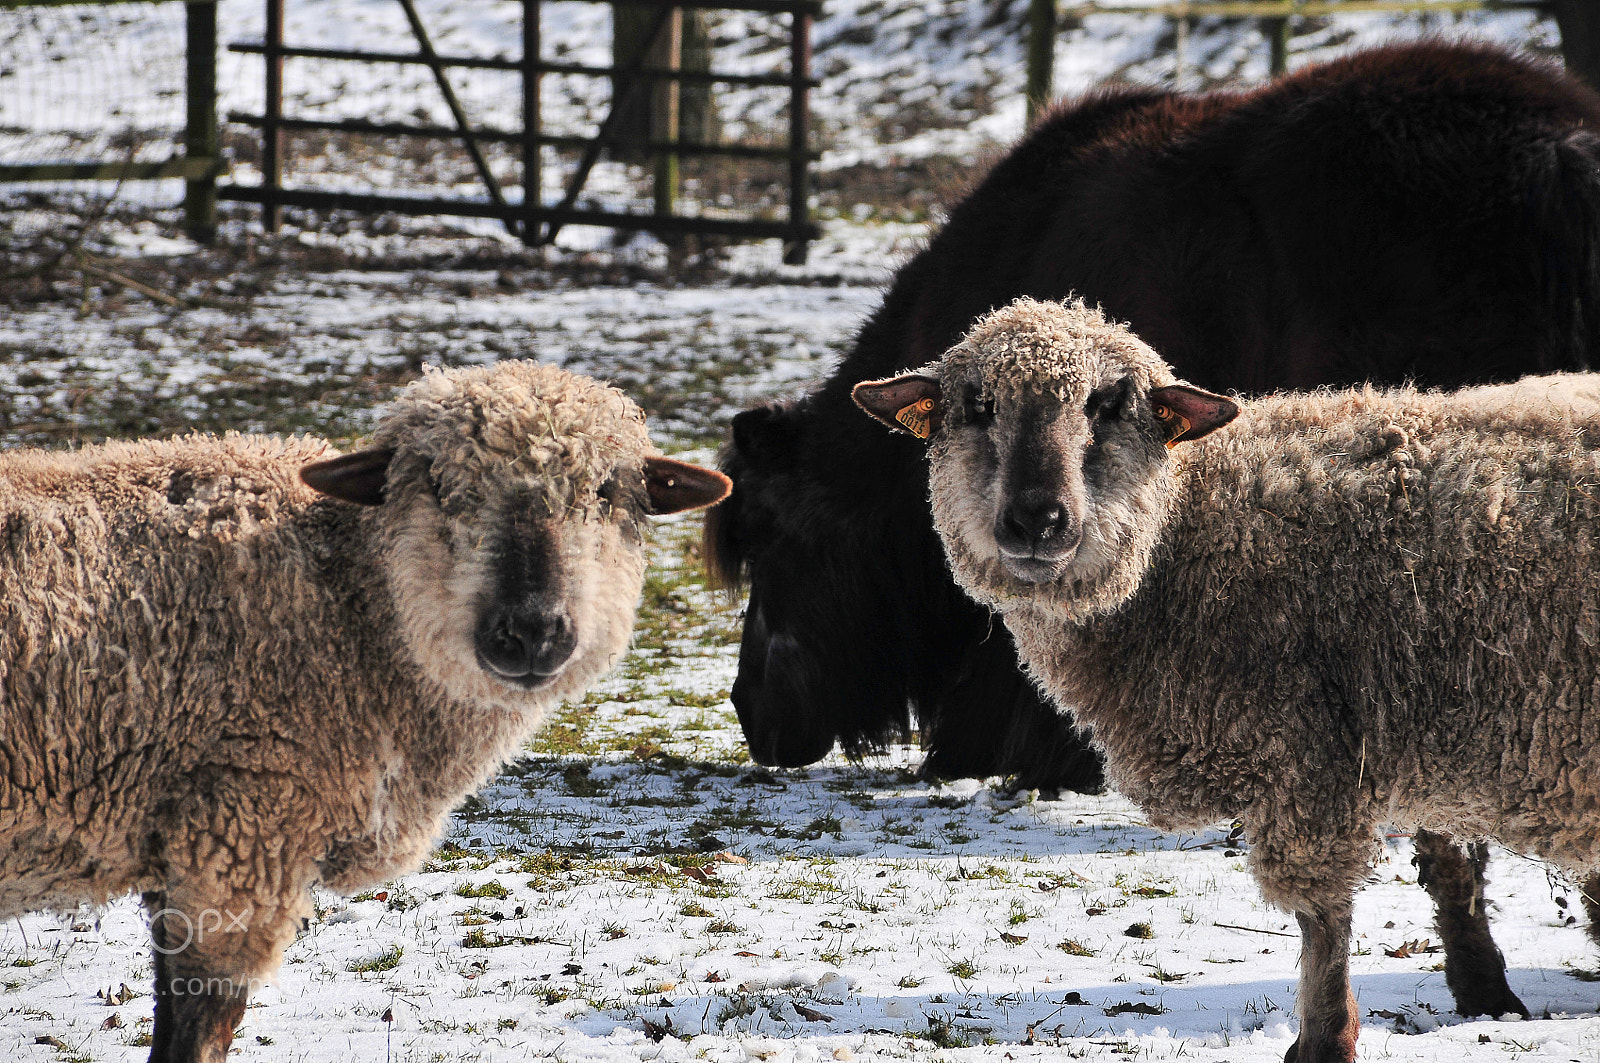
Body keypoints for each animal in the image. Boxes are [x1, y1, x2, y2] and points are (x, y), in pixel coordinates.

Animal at [0, 360, 730, 1063]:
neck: (352, 610)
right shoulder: (237, 839)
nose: (530, 631)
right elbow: (195, 1037)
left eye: (608, 490)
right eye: (435, 482)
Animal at [853, 298, 1600, 1063]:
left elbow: (1323, 913)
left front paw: (1325, 1038)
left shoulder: (1313, 753)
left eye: (1109, 404)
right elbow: (1448, 869)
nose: (1037, 519)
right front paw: (1482, 994)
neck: (1185, 532)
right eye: (978, 406)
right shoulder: (1404, 733)